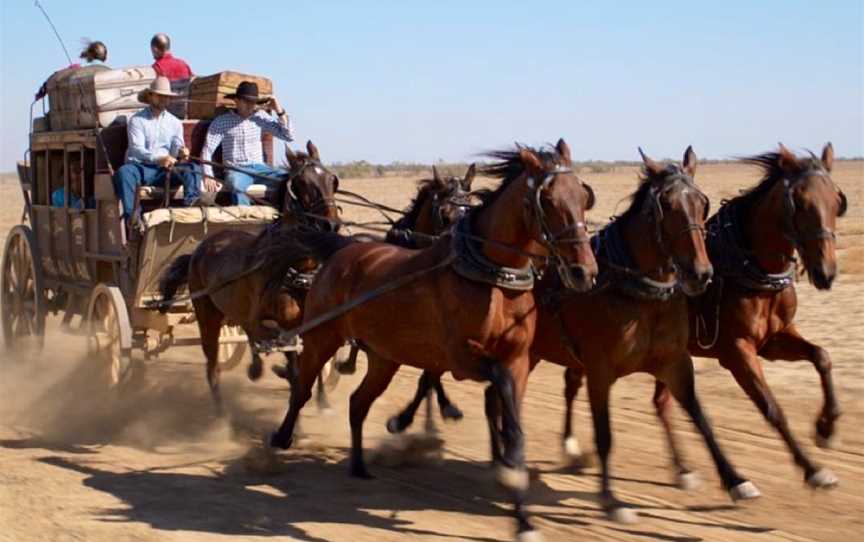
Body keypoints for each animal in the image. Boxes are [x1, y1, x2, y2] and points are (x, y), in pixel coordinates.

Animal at [159, 140, 340, 408]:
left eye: (331, 179)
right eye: (302, 183)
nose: (331, 225)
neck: (295, 271)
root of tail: (198, 251)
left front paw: (322, 398)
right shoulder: (270, 326)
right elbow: (286, 354)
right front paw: (283, 374)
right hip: (207, 316)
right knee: (212, 365)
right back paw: (223, 409)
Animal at [270, 141, 600, 542]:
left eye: (583, 196)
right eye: (548, 200)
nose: (584, 271)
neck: (493, 278)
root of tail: (342, 249)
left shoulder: (519, 360)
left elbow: (514, 426)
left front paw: (521, 513)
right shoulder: (461, 357)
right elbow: (486, 385)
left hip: (385, 357)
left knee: (358, 403)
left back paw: (360, 464)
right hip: (322, 335)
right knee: (302, 386)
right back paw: (282, 437)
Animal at [608, 142, 844, 490]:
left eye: (836, 200)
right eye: (800, 202)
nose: (825, 272)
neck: (753, 269)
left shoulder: (773, 340)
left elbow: (822, 356)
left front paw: (826, 427)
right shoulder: (737, 351)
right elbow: (771, 408)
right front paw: (812, 468)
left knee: (662, 403)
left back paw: (683, 470)